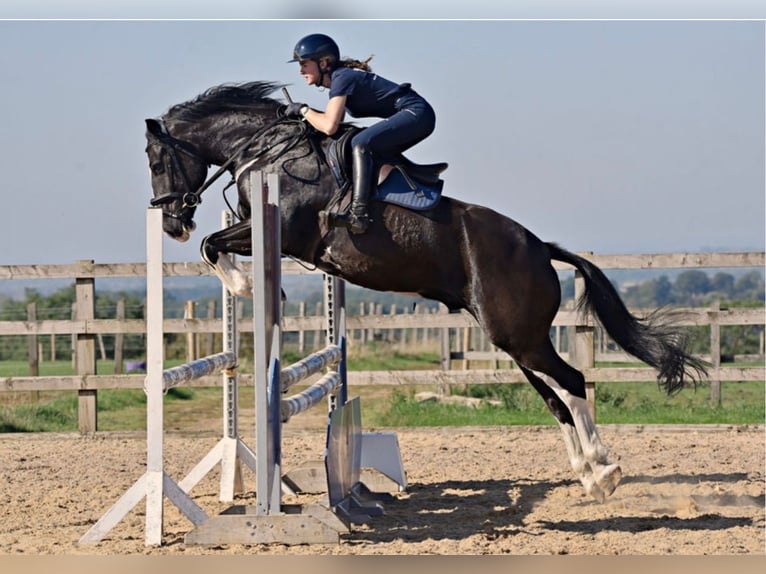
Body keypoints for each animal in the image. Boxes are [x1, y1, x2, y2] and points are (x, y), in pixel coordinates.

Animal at [144, 81, 706, 503]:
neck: (269, 152)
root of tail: (539, 247)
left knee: (571, 381)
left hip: (519, 336)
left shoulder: (286, 231)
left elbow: (213, 246)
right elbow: (214, 245)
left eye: (155, 161)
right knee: (556, 396)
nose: (171, 223)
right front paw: (248, 284)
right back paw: (590, 472)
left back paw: (605, 471)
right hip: (514, 338)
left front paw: (247, 285)